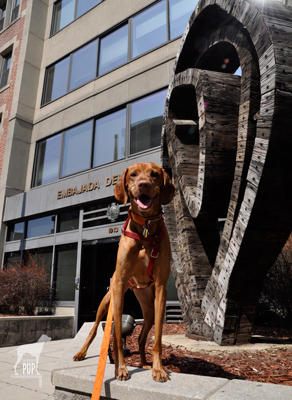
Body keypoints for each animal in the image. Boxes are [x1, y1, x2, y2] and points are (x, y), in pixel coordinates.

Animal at [74, 162, 175, 382]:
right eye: (134, 174)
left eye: (154, 174)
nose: (144, 184)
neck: (145, 231)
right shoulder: (119, 286)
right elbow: (117, 337)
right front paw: (120, 368)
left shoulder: (161, 288)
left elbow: (157, 340)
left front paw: (158, 369)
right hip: (107, 300)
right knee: (94, 329)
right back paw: (81, 352)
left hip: (149, 308)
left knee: (142, 338)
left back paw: (145, 364)